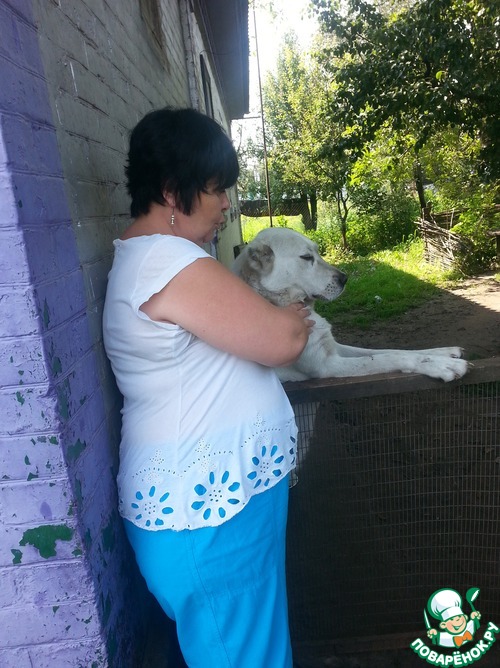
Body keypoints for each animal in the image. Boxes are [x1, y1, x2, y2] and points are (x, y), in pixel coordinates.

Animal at [233, 227, 469, 383]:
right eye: (306, 257)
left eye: (317, 251)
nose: (345, 279)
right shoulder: (327, 365)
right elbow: (389, 357)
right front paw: (442, 365)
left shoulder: (335, 347)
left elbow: (387, 350)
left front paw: (442, 353)